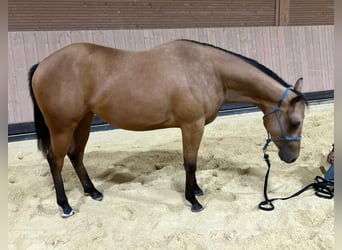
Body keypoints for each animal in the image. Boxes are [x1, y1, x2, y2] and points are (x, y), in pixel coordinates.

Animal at [28, 38, 308, 217]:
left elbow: (193, 162)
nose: (292, 158)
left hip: (83, 121)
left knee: (76, 155)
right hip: (62, 127)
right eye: (295, 122)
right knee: (56, 160)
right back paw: (65, 206)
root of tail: (42, 65)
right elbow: (190, 162)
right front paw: (193, 200)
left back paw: (93, 191)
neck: (208, 70)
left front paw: (196, 190)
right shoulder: (192, 126)